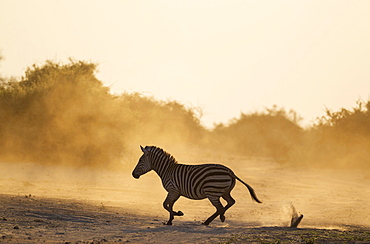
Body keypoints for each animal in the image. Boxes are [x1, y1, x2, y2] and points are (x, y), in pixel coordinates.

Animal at [132, 145, 262, 225]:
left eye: (140, 161)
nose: (133, 175)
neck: (167, 170)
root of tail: (230, 171)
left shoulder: (173, 190)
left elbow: (165, 205)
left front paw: (177, 214)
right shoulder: (176, 192)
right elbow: (170, 205)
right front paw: (170, 220)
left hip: (212, 193)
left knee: (220, 207)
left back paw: (209, 221)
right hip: (224, 192)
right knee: (230, 202)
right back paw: (220, 217)